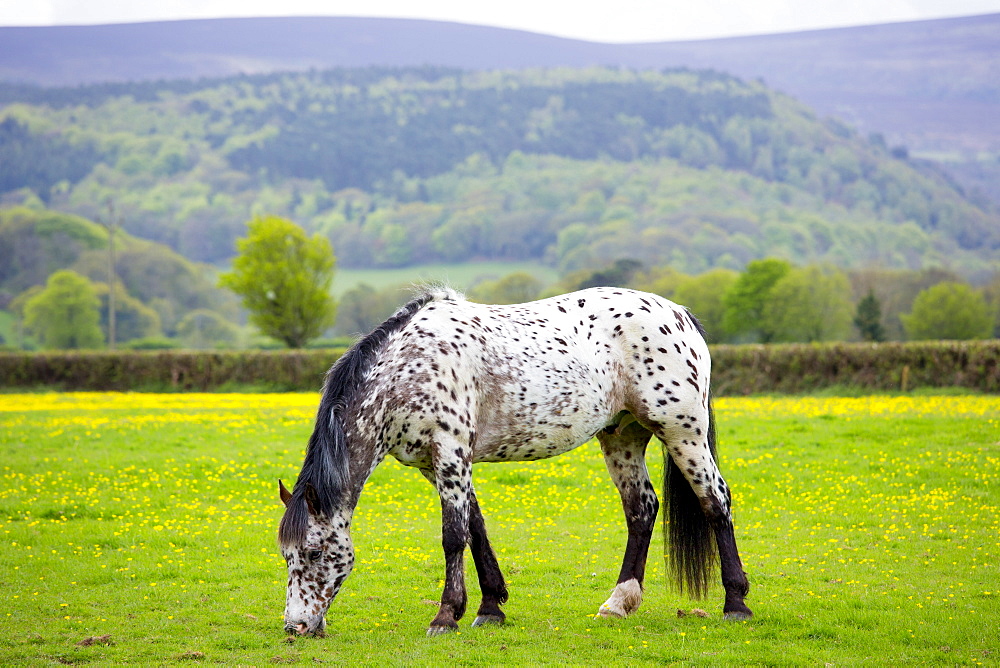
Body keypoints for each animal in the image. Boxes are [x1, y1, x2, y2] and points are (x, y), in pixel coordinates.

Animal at [276, 286, 752, 636]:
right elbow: (476, 528)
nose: (296, 628)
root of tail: (680, 314)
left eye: (315, 552)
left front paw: (445, 617)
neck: (408, 368)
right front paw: (490, 608)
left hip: (683, 433)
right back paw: (618, 603)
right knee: (642, 509)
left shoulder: (451, 452)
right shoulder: (436, 464)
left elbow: (454, 536)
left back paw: (736, 603)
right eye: (287, 555)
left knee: (715, 501)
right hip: (623, 435)